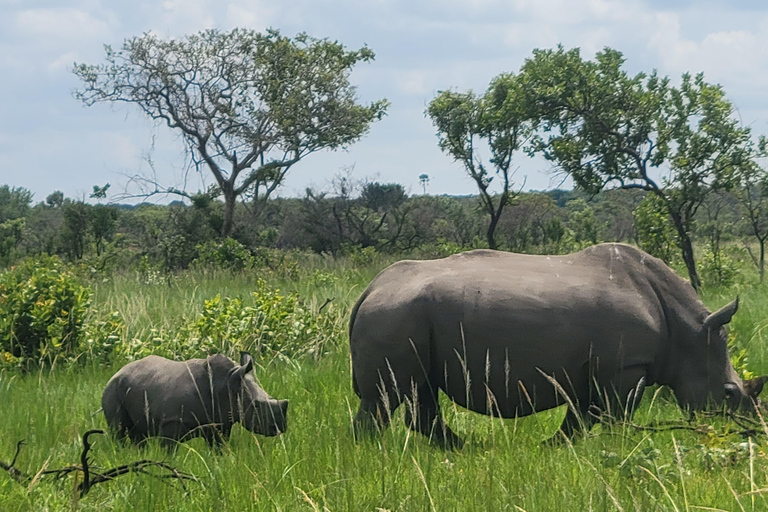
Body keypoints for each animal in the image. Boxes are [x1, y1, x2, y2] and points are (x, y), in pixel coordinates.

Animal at [102, 352, 288, 446]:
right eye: (256, 406)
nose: (280, 428)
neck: (228, 382)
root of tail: (117, 372)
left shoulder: (220, 422)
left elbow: (219, 448)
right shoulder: (171, 422)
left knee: (138, 435)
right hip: (112, 389)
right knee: (119, 430)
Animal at [350, 243, 766, 448]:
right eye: (729, 393)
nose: (748, 429)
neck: (689, 332)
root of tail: (369, 289)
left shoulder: (595, 369)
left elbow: (581, 417)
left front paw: (554, 447)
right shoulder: (626, 365)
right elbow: (614, 417)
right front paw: (613, 449)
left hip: (408, 316)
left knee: (419, 391)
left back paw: (458, 449)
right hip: (395, 314)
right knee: (387, 397)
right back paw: (373, 454)